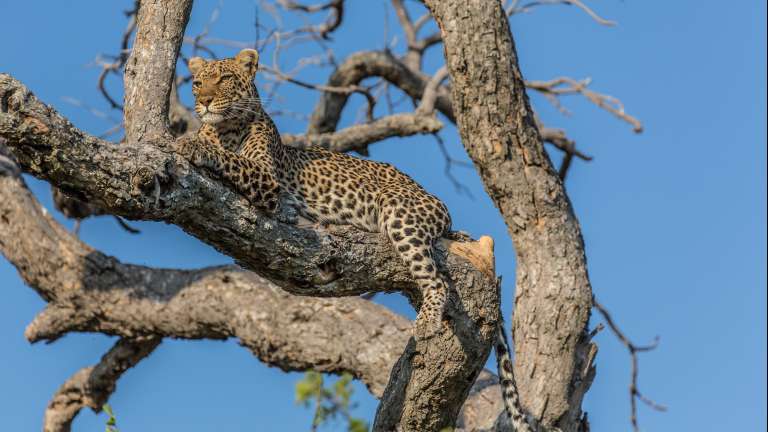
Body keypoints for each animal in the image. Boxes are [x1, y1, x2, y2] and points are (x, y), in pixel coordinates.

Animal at [173, 48, 535, 431]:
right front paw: (196, 139)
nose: (204, 101)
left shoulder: (268, 181)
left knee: (436, 280)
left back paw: (427, 322)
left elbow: (231, 159)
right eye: (198, 83)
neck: (225, 128)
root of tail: (443, 211)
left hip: (399, 211)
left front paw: (191, 143)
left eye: (224, 79)